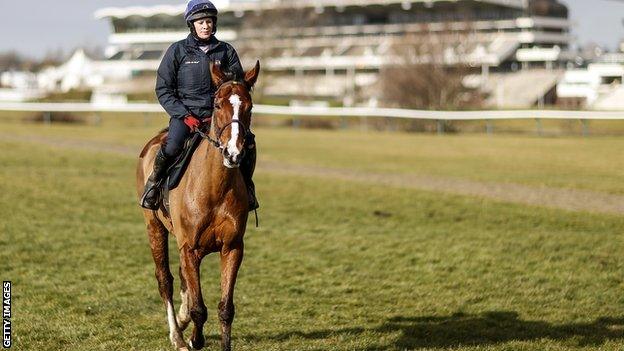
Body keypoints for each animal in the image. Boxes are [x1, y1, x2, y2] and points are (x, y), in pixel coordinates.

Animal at [136, 61, 260, 351]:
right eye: (217, 104)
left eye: (249, 106)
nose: (233, 153)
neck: (214, 188)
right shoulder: (190, 248)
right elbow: (199, 309)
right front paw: (194, 338)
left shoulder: (232, 248)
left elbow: (225, 308)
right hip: (154, 227)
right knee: (166, 280)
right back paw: (178, 336)